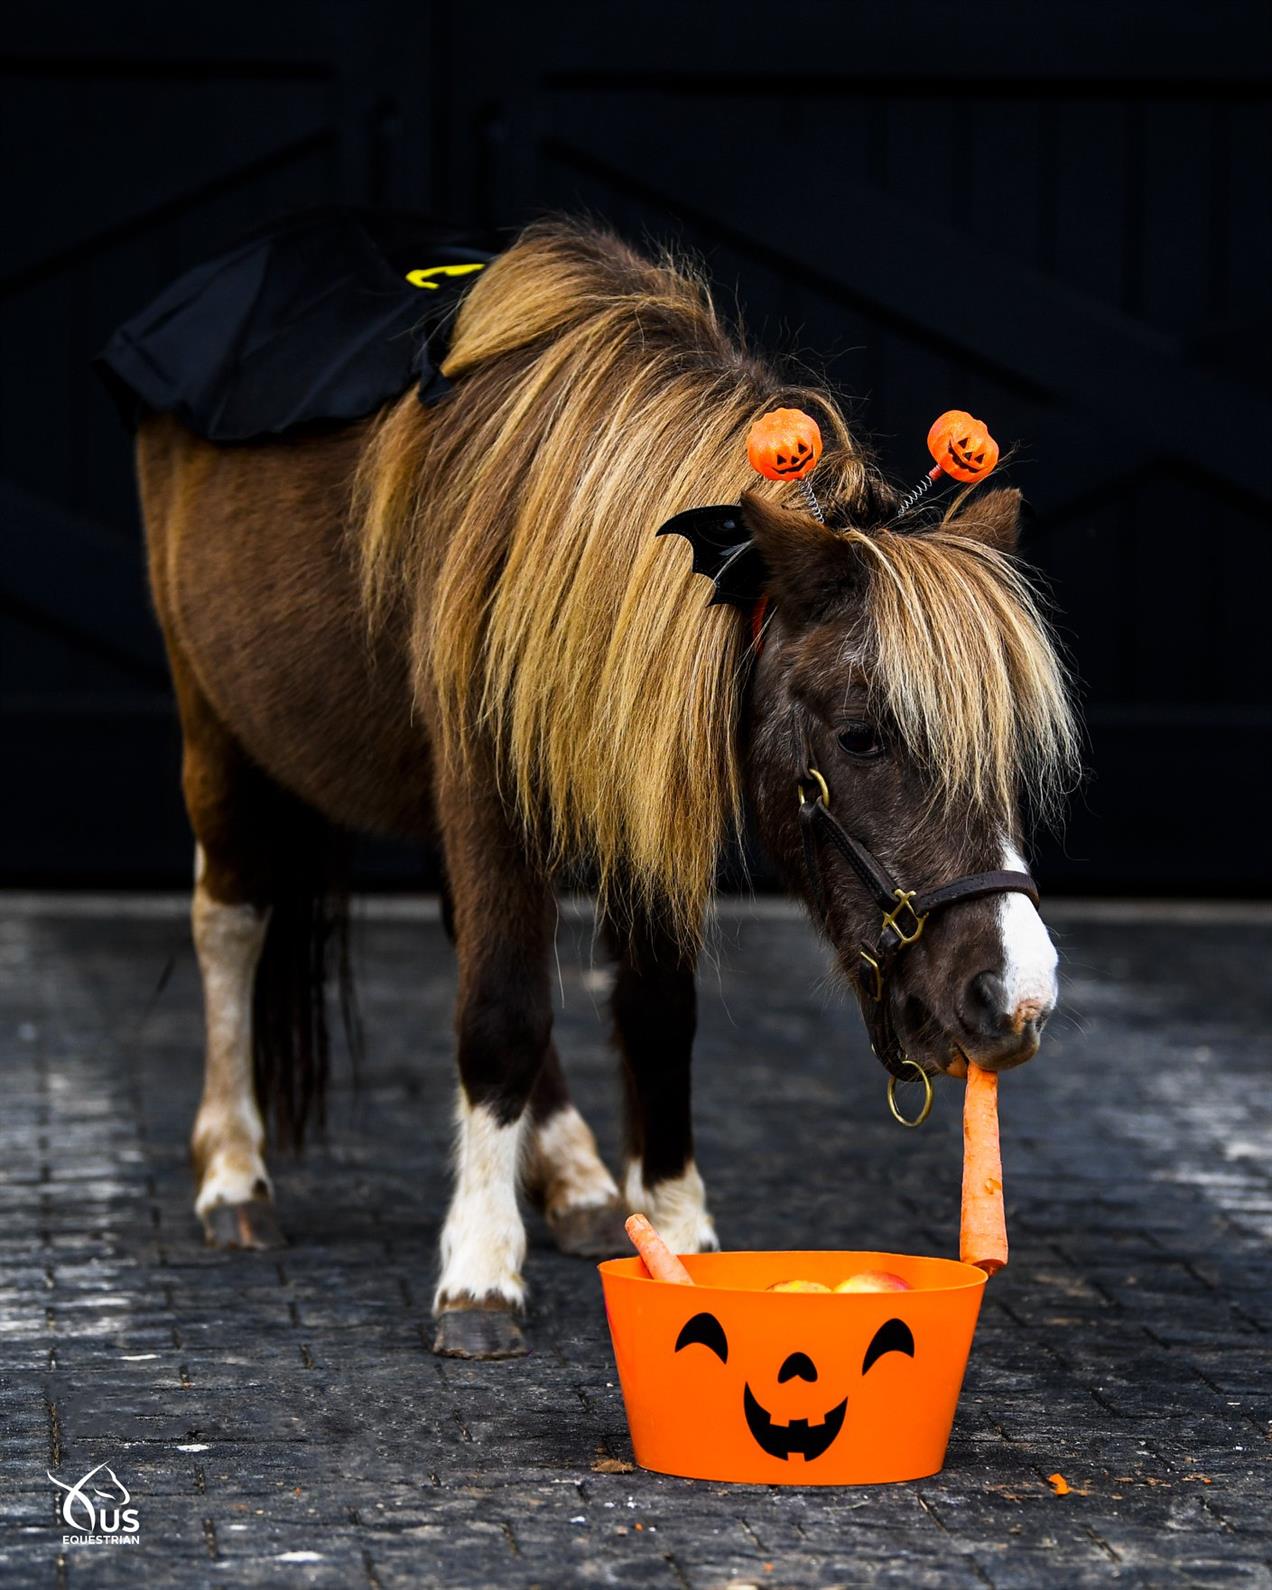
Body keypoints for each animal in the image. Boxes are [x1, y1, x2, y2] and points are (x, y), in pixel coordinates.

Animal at [136, 221, 1074, 1354]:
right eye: (861, 737)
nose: (1016, 997)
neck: (558, 521)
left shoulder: (642, 790)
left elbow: (656, 1008)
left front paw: (667, 1223)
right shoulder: (484, 787)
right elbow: (501, 1009)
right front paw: (481, 1269)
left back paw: (574, 1178)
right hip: (213, 719)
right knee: (230, 922)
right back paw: (233, 1170)